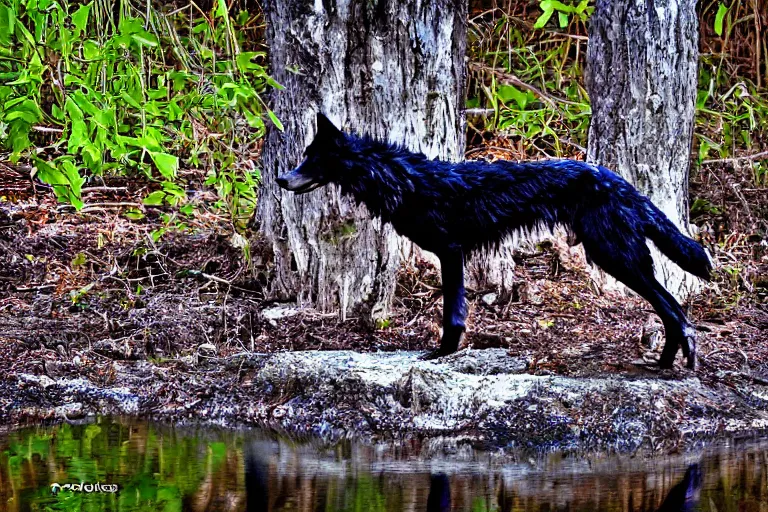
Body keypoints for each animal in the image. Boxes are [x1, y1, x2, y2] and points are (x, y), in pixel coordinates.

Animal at [274, 113, 708, 368]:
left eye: (312, 158)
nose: (280, 179)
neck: (404, 181)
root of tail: (621, 182)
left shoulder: (450, 254)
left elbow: (452, 314)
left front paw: (443, 352)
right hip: (619, 257)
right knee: (673, 309)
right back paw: (664, 364)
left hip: (615, 256)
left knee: (675, 311)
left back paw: (674, 361)